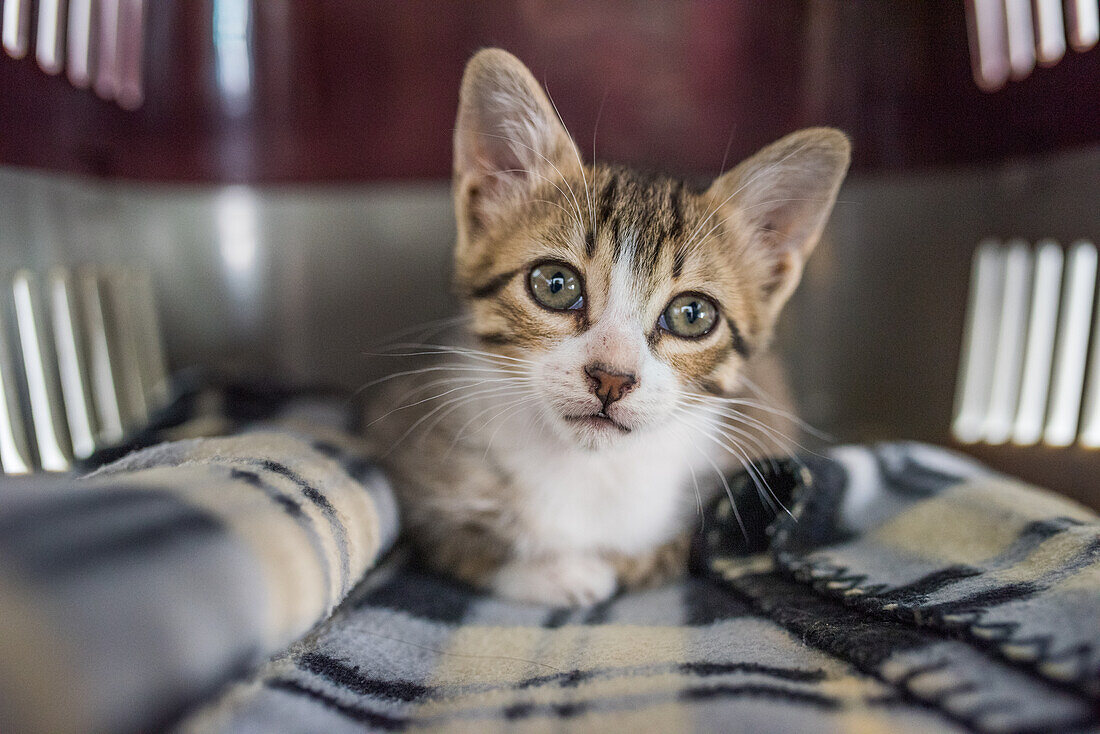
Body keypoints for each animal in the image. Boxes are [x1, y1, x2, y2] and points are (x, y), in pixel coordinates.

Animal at [369, 48, 849, 607]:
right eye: (555, 284)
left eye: (692, 315)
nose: (611, 379)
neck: (588, 469)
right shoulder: (403, 438)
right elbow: (454, 542)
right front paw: (558, 572)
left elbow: (669, 552)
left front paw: (607, 564)